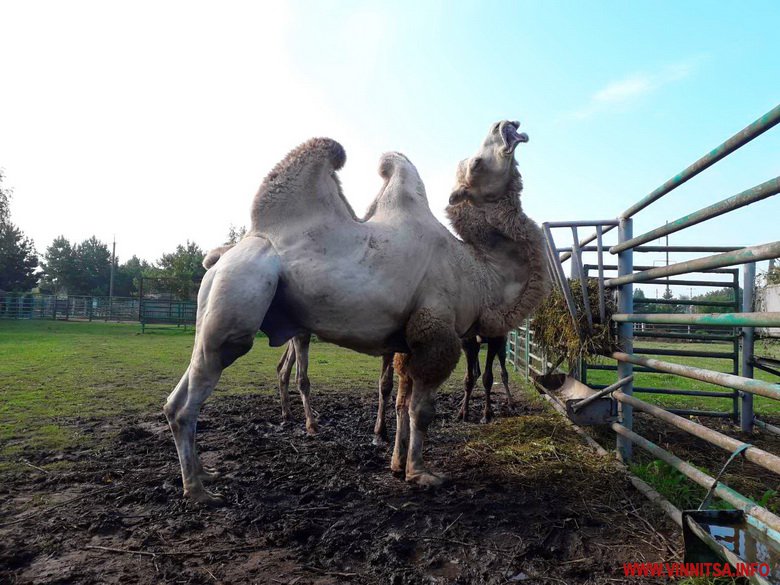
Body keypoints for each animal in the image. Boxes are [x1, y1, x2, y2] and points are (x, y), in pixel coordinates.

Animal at [166, 120, 548, 502]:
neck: (478, 271)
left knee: (178, 394)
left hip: (215, 301)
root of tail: (223, 256)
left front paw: (396, 465)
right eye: (476, 164)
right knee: (193, 394)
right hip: (240, 289)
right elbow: (421, 410)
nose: (506, 124)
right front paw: (421, 473)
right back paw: (198, 491)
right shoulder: (435, 332)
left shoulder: (408, 341)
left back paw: (206, 472)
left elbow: (401, 404)